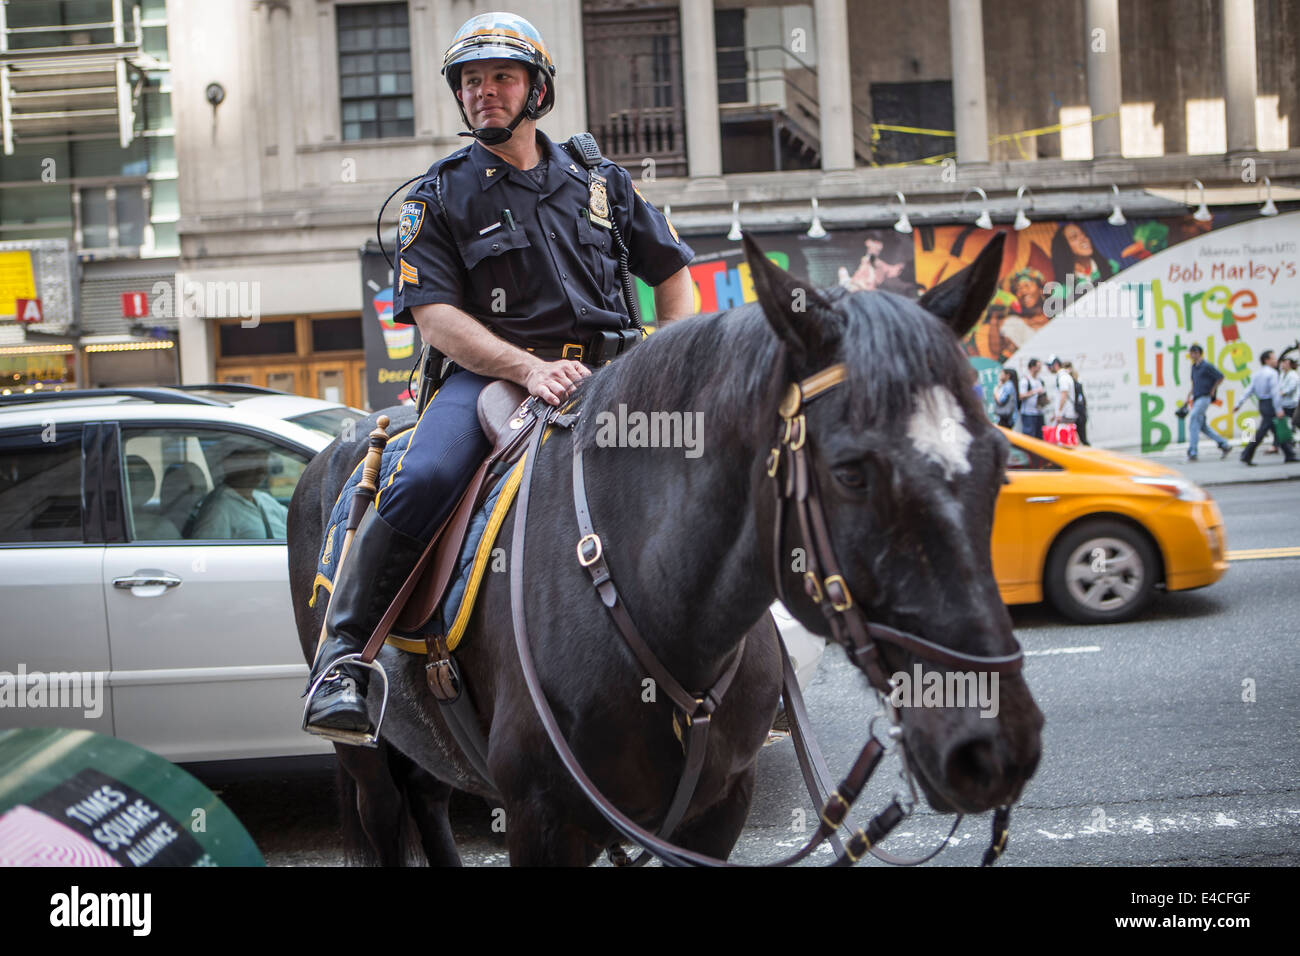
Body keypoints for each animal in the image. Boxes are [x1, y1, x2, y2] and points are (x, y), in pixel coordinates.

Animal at [287, 234, 1045, 868]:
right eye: (852, 472)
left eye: (999, 461)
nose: (994, 747)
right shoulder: (542, 820)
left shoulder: (716, 815)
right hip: (367, 762)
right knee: (389, 809)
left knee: (431, 800)